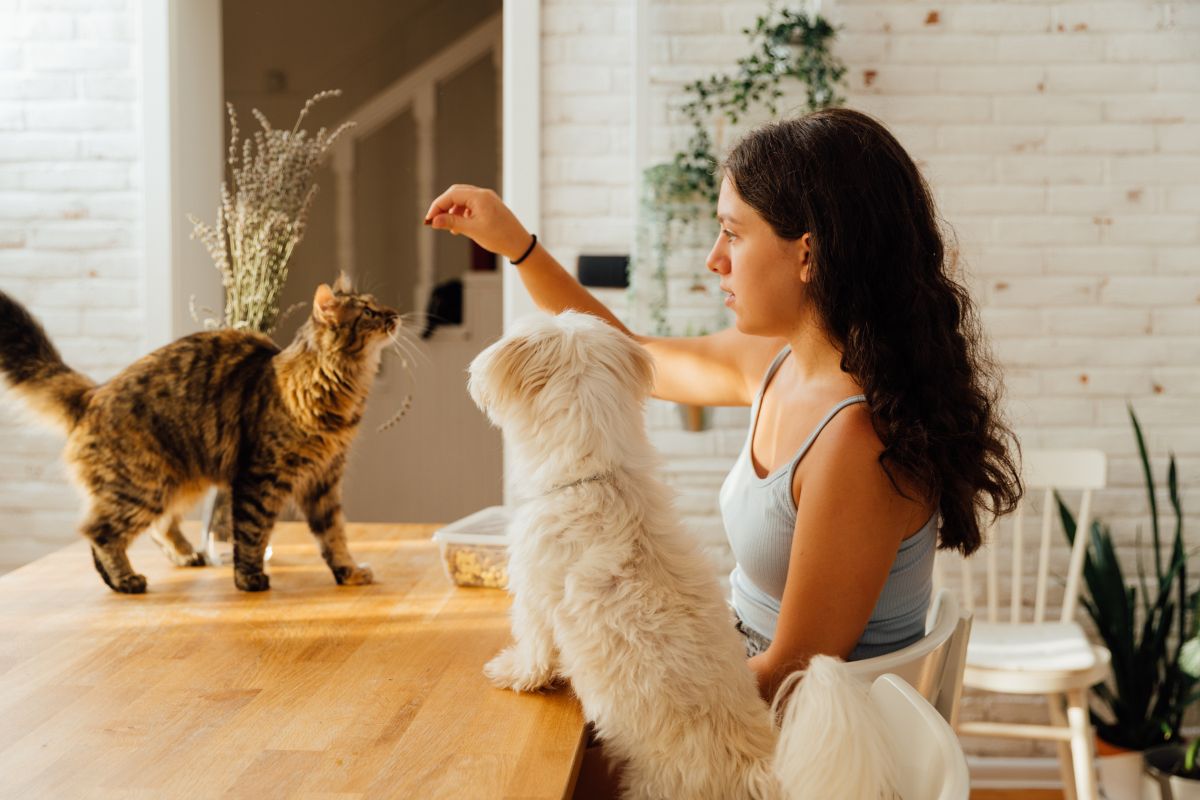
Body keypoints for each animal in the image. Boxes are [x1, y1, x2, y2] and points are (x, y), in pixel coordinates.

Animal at [0, 277, 403, 594]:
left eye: (379, 305)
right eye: (369, 312)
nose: (396, 314)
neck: (337, 391)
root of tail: (94, 393)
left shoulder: (324, 481)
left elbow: (333, 535)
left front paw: (348, 573)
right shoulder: (260, 477)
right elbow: (252, 532)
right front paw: (249, 579)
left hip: (178, 481)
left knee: (159, 526)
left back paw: (185, 556)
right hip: (141, 485)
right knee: (98, 531)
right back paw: (125, 581)